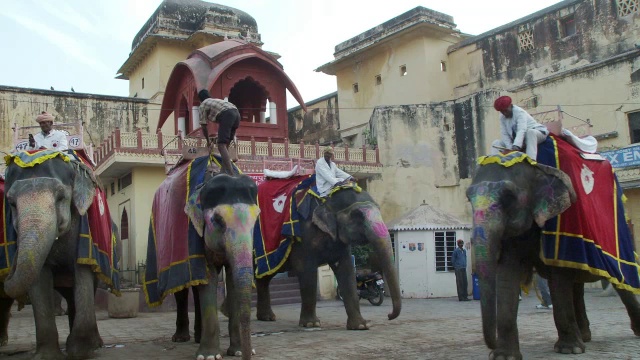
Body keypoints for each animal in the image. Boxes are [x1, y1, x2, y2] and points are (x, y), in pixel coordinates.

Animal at [3, 153, 118, 360]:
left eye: (61, 197)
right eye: (12, 203)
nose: (9, 272)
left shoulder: (83, 230)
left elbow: (82, 272)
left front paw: (82, 352)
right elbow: (39, 278)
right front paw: (46, 356)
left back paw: (93, 343)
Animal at [464, 158, 640, 360]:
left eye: (508, 196)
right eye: (468, 198)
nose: (490, 345)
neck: (537, 170)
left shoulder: (559, 225)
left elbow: (558, 278)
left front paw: (569, 350)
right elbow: (508, 276)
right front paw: (503, 356)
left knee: (622, 281)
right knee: (577, 288)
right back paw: (584, 337)